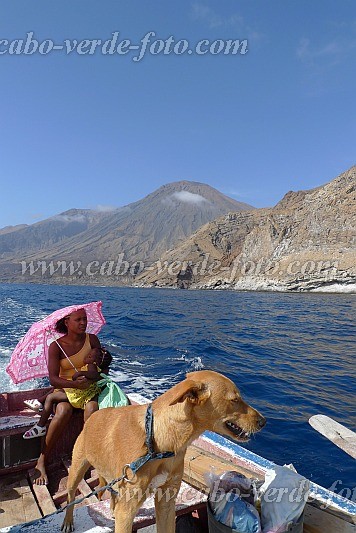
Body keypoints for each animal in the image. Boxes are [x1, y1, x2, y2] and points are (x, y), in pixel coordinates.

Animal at [61, 370, 264, 532]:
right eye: (235, 400)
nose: (264, 421)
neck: (156, 443)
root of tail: (93, 415)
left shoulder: (166, 502)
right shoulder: (127, 512)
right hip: (76, 470)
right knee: (71, 497)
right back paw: (68, 521)